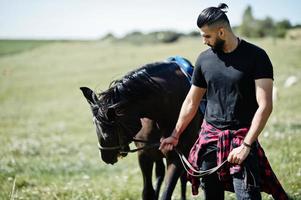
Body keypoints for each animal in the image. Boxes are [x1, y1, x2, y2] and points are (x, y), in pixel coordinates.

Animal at [79, 59, 203, 200]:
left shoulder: (176, 158)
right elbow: (148, 192)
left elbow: (166, 193)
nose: (105, 156)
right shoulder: (145, 155)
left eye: (107, 135)